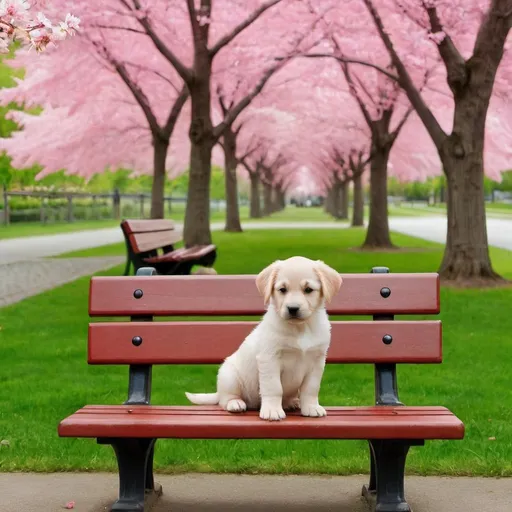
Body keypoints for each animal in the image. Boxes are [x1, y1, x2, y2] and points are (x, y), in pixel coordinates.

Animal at [186, 255, 342, 420]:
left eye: (308, 290)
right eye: (282, 289)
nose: (293, 309)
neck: (300, 328)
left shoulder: (317, 361)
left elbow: (311, 389)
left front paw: (312, 407)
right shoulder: (270, 359)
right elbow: (274, 387)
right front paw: (272, 410)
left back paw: (292, 402)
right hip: (230, 376)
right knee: (225, 399)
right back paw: (235, 403)